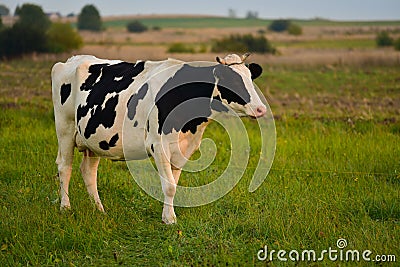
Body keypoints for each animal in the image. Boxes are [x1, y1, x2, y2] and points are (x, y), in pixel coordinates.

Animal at [52, 52, 266, 224]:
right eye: (233, 81)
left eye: (250, 79)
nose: (261, 109)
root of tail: (73, 59)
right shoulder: (159, 145)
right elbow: (169, 185)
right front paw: (170, 219)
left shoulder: (183, 148)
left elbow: (173, 184)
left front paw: (166, 215)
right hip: (65, 128)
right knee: (65, 167)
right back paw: (65, 207)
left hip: (93, 139)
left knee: (88, 171)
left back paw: (99, 209)